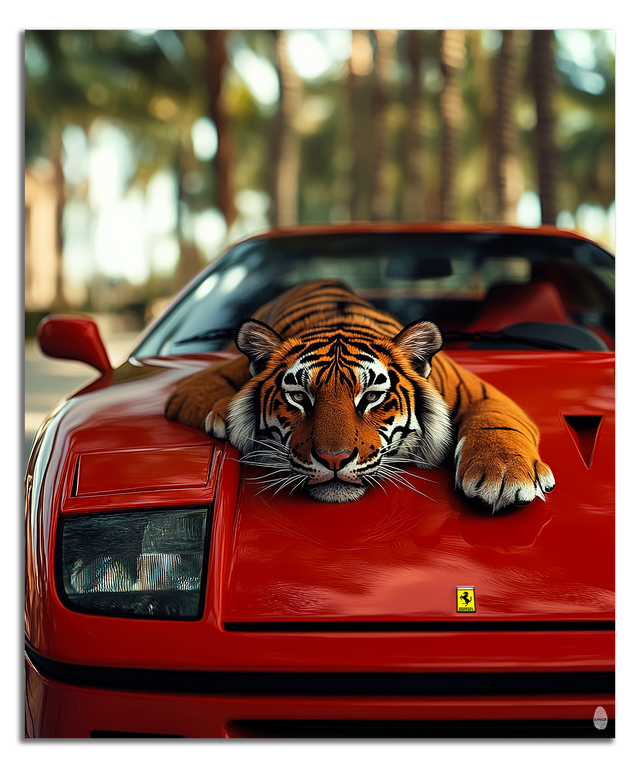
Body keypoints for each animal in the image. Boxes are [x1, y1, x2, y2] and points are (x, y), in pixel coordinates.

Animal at [165, 279, 555, 511]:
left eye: (369, 397)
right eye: (299, 398)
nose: (333, 460)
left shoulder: (482, 393)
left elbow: (497, 424)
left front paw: (503, 474)